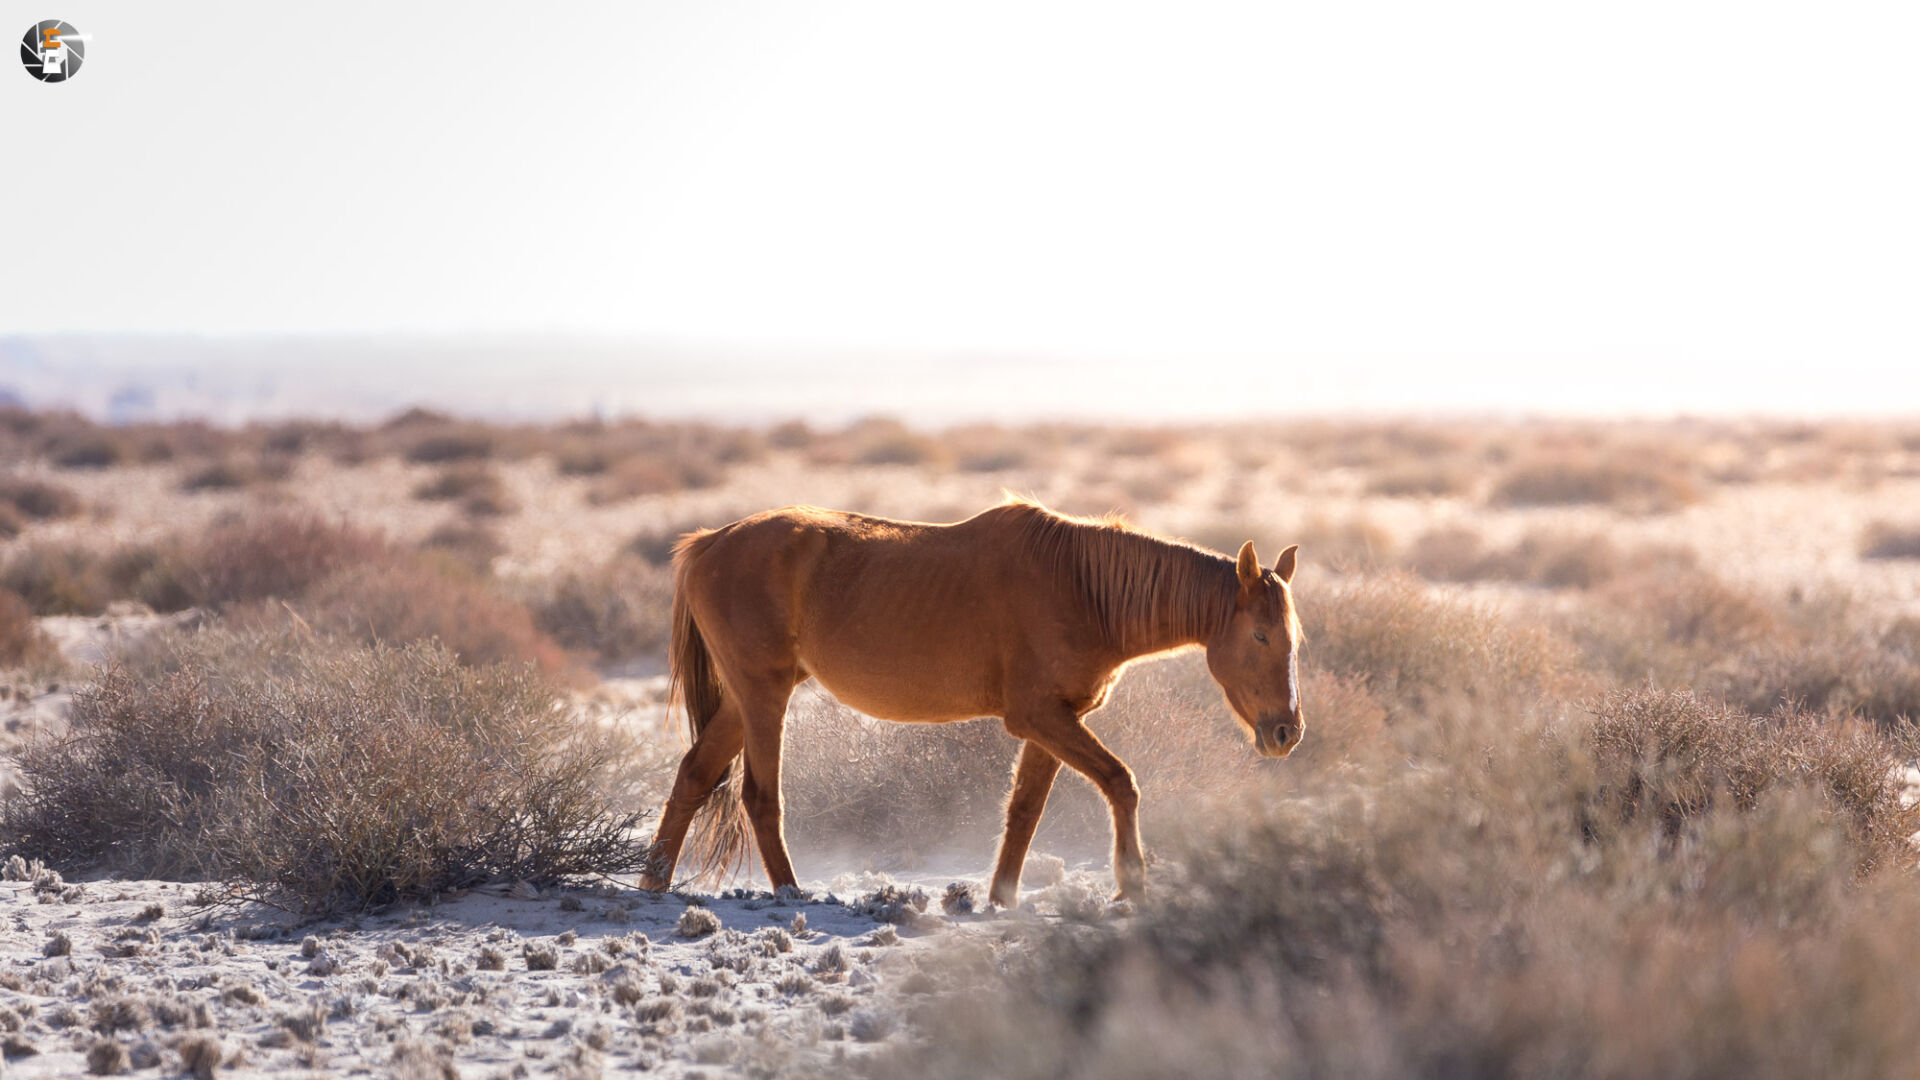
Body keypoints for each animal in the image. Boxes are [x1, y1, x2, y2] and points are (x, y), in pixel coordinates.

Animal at [637, 497, 1304, 905]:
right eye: (1261, 637)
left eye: (1295, 638)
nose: (1287, 733)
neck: (1084, 591)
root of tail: (708, 543)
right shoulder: (1040, 717)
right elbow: (1121, 782)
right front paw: (1131, 886)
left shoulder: (1055, 721)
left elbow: (1025, 811)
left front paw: (1001, 897)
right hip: (763, 696)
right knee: (758, 796)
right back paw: (789, 893)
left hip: (744, 699)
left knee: (694, 775)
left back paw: (652, 886)